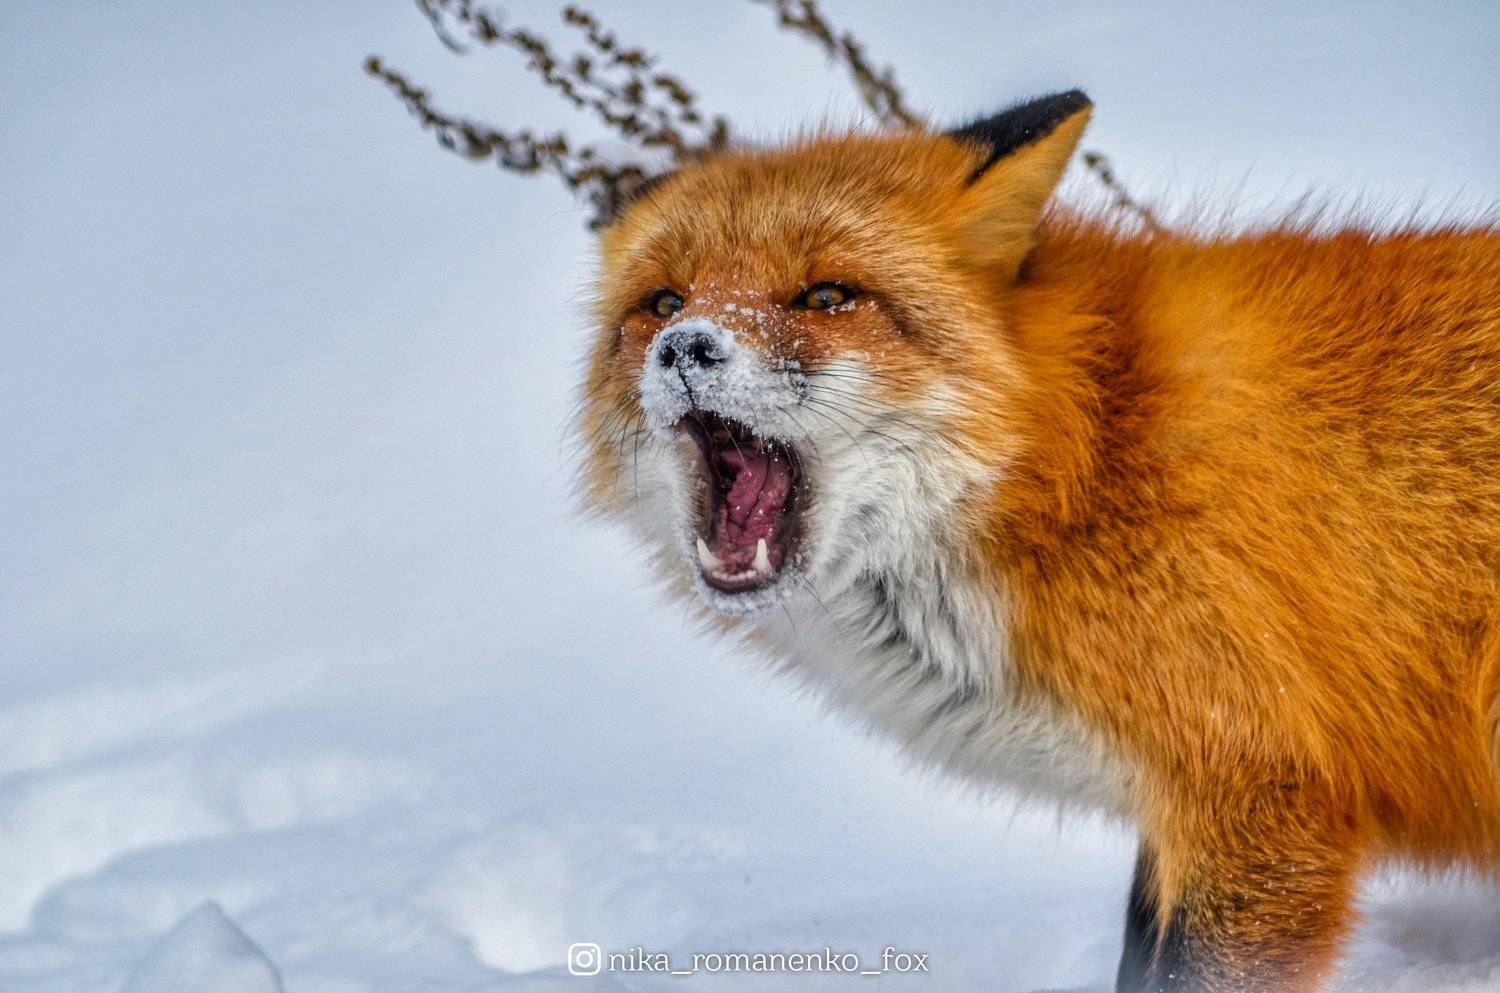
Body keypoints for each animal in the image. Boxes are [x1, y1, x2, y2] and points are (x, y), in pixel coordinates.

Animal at [575, 90, 1500, 992]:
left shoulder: (1257, 788)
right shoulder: (1181, 801)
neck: (1078, 457)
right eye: (665, 302)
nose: (687, 346)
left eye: (829, 295)